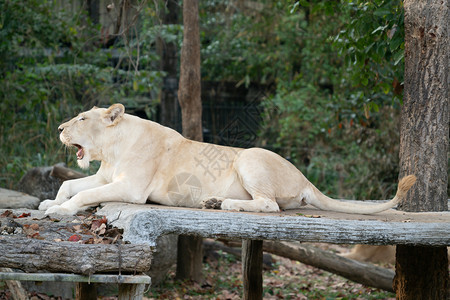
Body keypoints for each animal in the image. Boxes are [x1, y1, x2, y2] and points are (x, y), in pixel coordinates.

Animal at [38, 103, 414, 216]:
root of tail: (306, 179)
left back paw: (225, 204)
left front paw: (61, 210)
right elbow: (71, 184)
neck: (112, 150)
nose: (58, 128)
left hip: (249, 158)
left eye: (82, 118)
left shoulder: (130, 188)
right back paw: (215, 201)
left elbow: (84, 194)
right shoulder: (107, 177)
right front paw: (50, 203)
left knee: (269, 205)